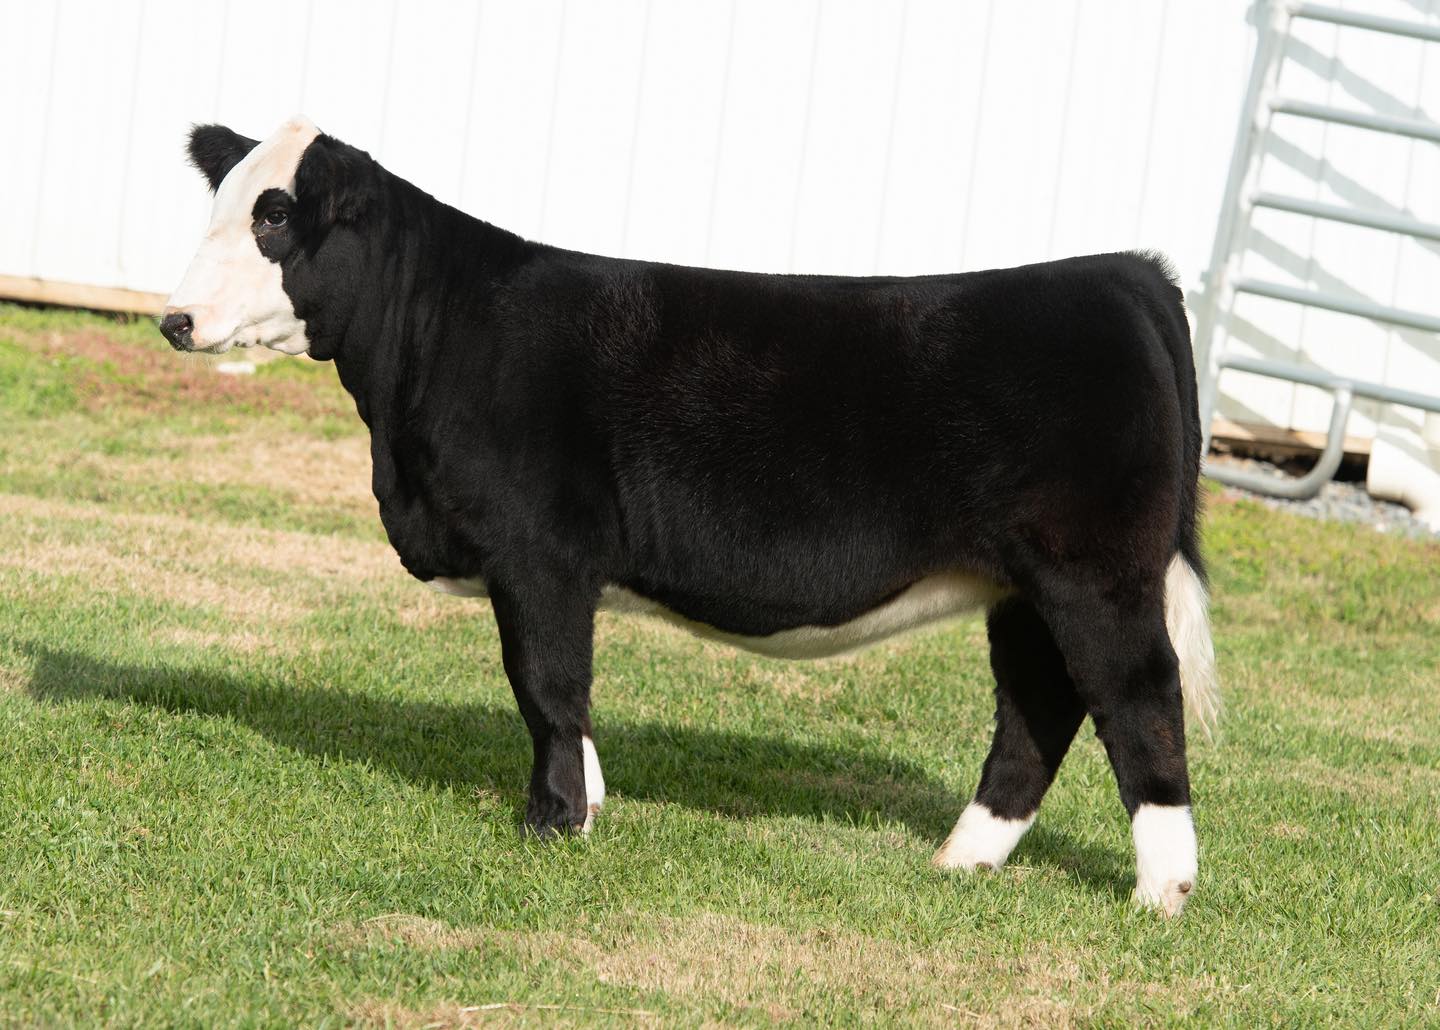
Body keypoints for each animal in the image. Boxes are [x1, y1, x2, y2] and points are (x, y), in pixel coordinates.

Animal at [161, 116, 1218, 916]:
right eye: (219, 206)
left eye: (276, 216)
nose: (174, 319)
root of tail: (1121, 274)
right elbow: (565, 697)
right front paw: (588, 807)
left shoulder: (538, 551)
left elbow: (546, 686)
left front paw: (553, 824)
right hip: (1022, 588)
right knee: (1039, 708)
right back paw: (962, 861)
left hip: (1095, 573)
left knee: (1137, 697)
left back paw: (1160, 894)